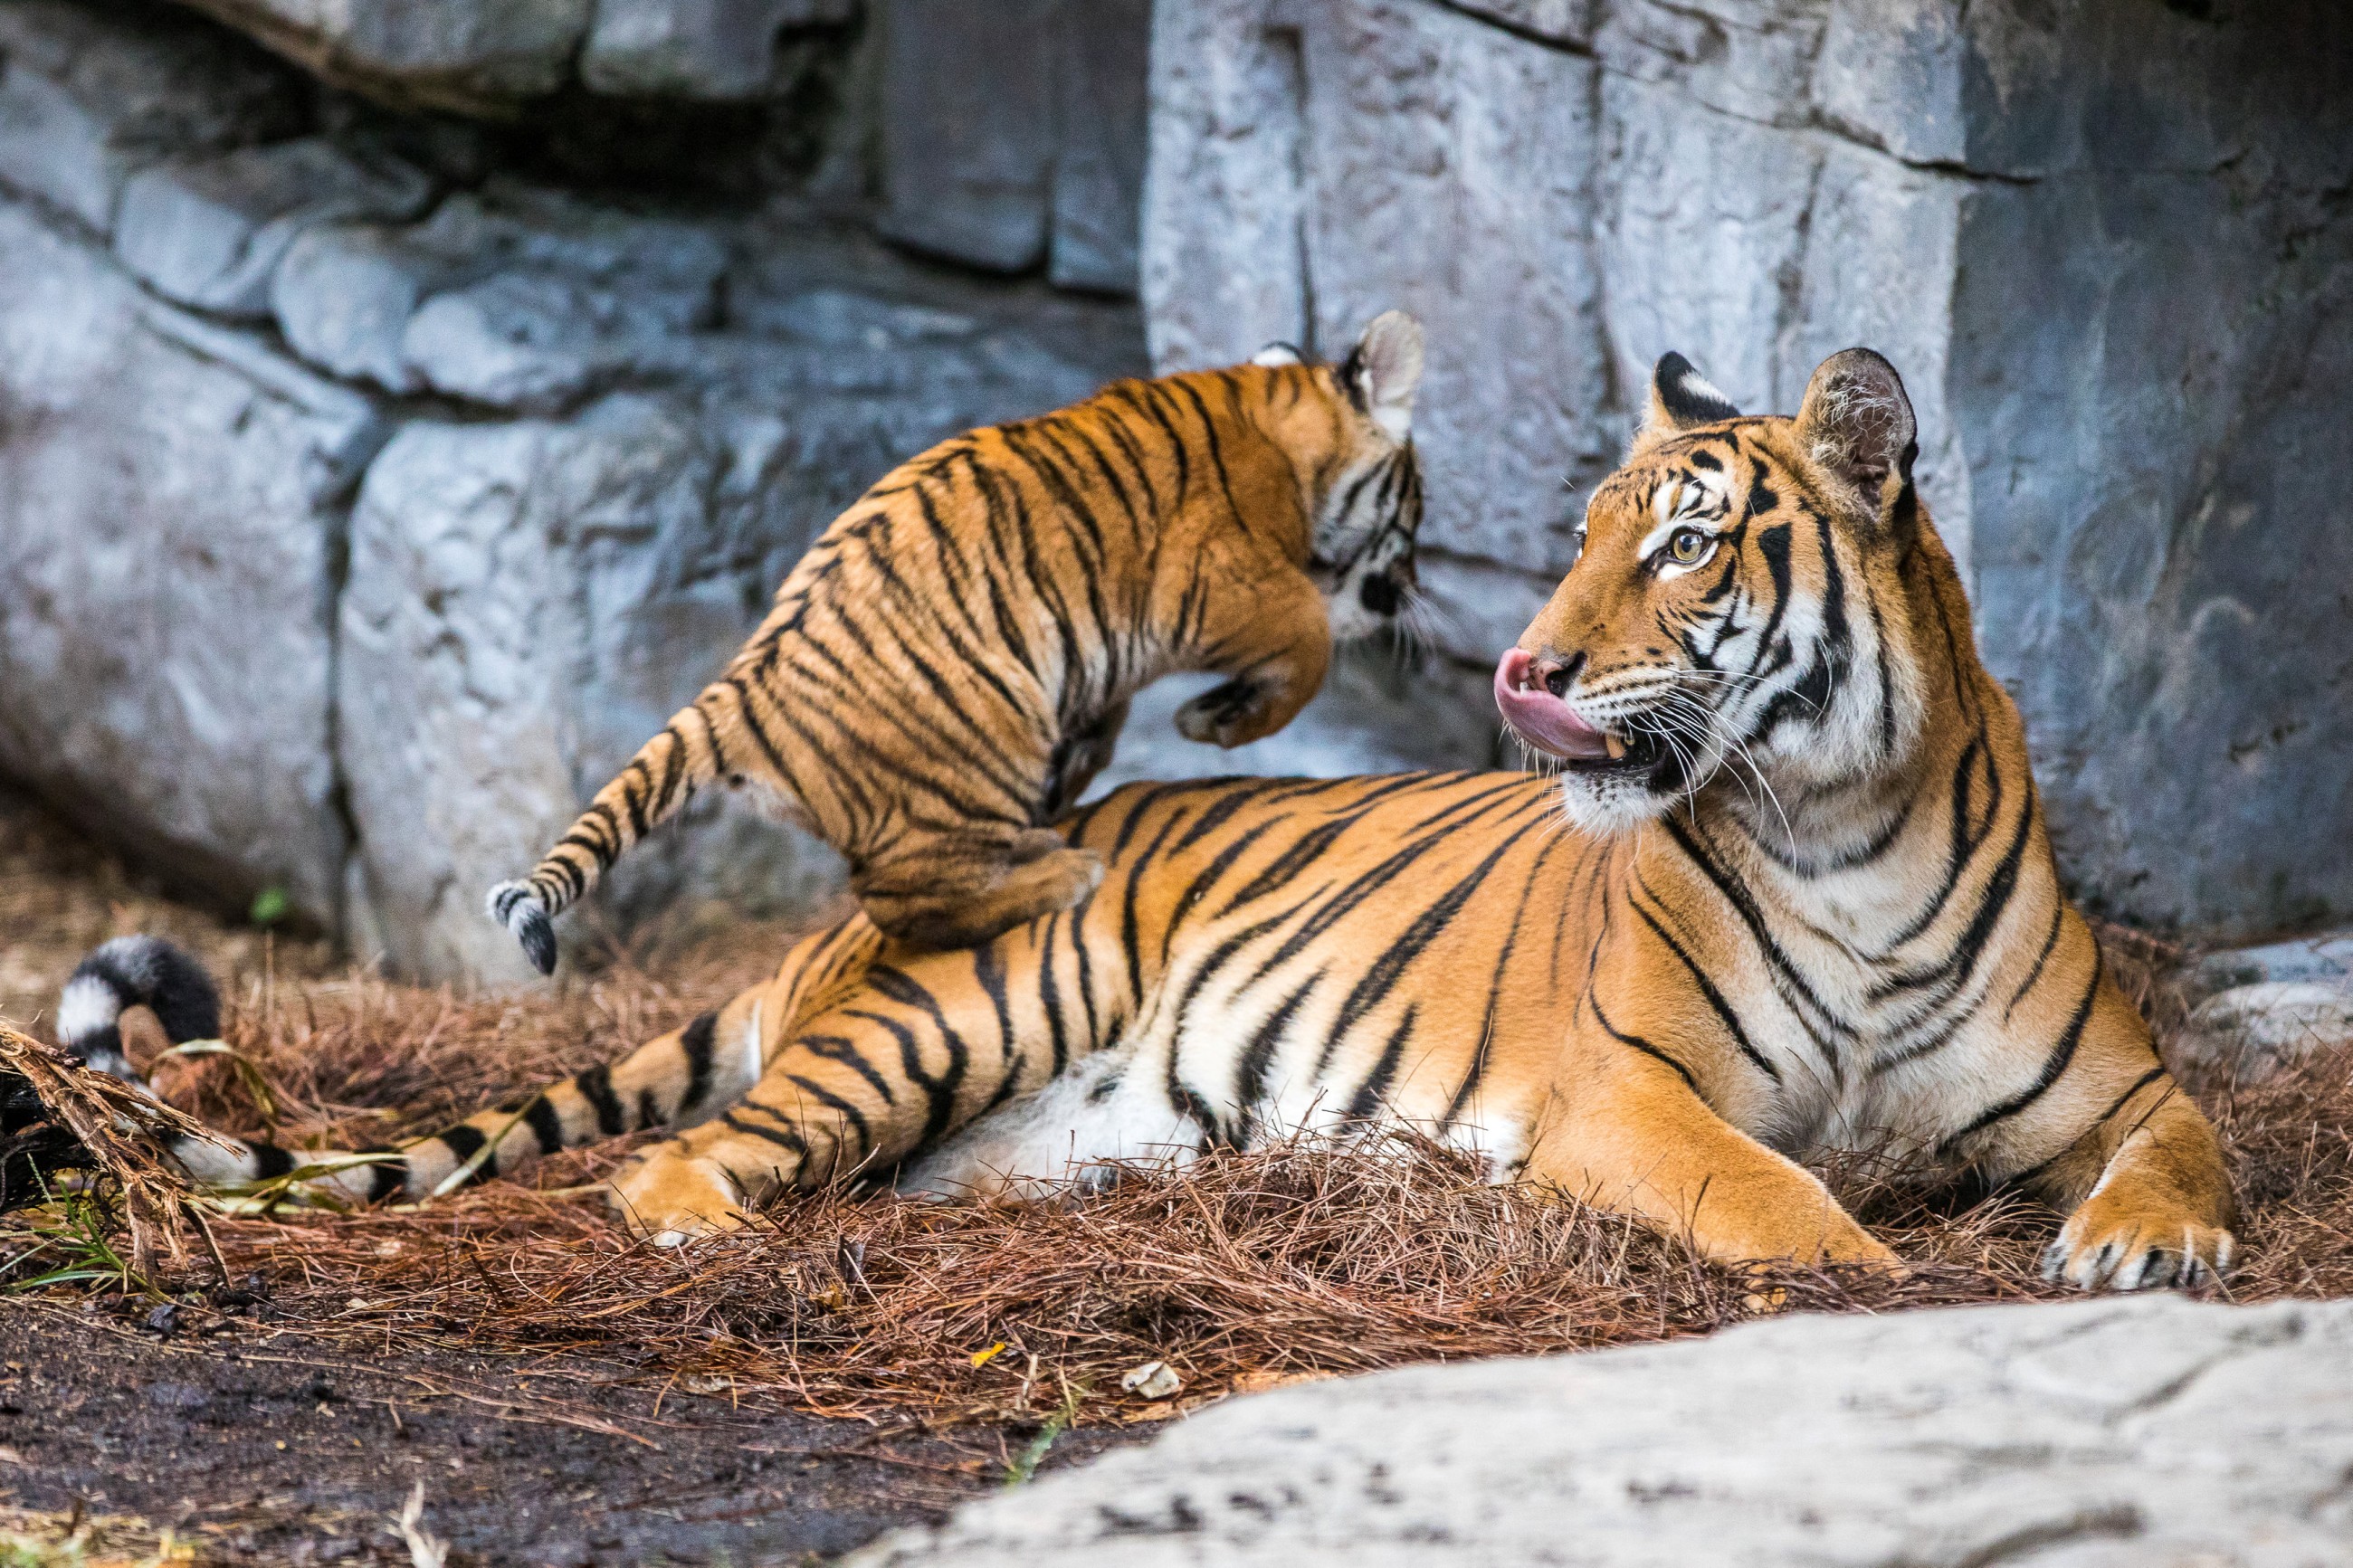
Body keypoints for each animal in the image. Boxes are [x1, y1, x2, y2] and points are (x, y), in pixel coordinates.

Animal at [485, 312, 1428, 970]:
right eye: (1416, 511)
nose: (1413, 590)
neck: (1281, 421)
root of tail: (738, 692)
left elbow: (1108, 720)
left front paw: (1101, 759)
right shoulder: (1221, 583)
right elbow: (1309, 639)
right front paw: (1216, 722)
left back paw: (1038, 843)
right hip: (978, 744)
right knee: (900, 903)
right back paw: (1060, 871)